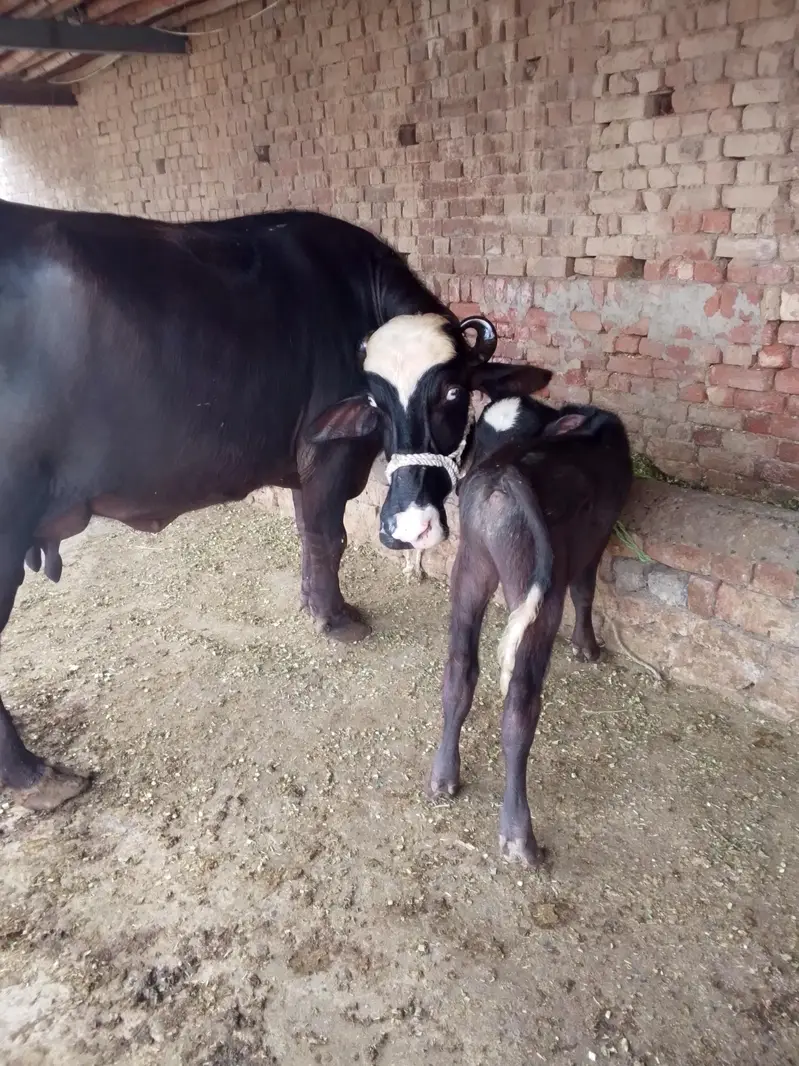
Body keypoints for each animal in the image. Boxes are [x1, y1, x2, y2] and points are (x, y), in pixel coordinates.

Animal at [0, 199, 552, 812]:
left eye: (452, 393)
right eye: (375, 401)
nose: (408, 528)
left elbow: (308, 534)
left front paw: (313, 603)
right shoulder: (329, 458)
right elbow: (328, 535)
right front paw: (335, 617)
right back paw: (36, 777)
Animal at [429, 394, 633, 866]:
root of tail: (503, 475)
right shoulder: (596, 541)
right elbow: (587, 589)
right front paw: (587, 647)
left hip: (470, 568)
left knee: (459, 670)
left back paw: (444, 776)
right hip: (539, 594)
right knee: (520, 707)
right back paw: (520, 836)